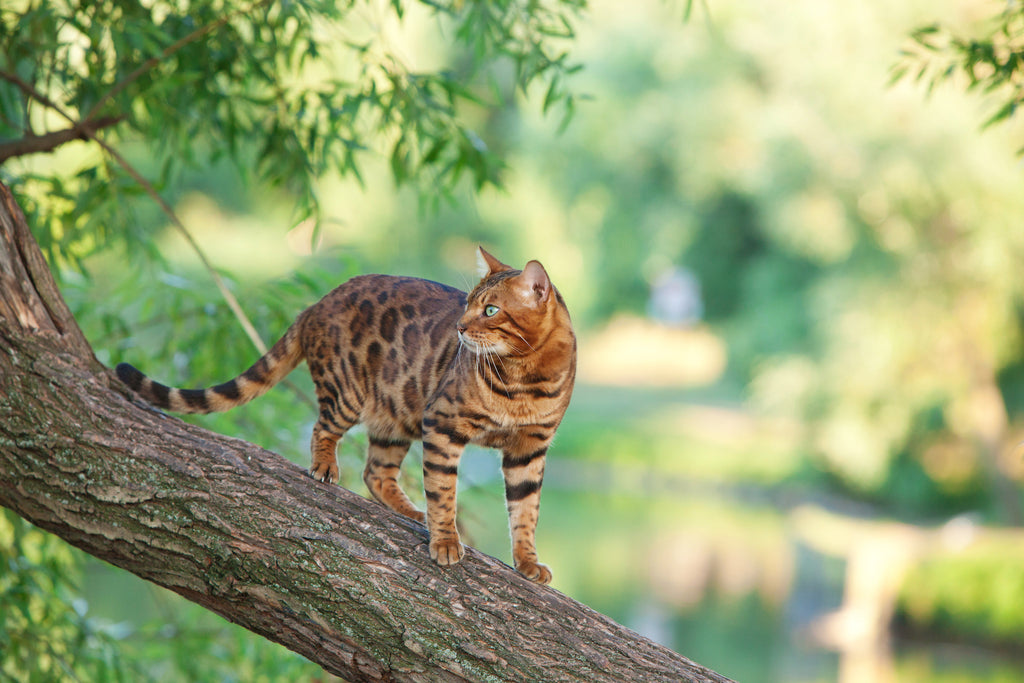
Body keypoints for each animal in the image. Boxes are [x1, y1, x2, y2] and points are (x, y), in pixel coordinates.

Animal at [116, 248, 577, 585]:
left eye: (491, 310)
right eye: (467, 304)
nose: (460, 329)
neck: (524, 378)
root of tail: (316, 303)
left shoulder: (529, 449)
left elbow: (525, 511)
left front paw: (527, 562)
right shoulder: (444, 423)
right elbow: (445, 491)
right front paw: (446, 540)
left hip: (397, 413)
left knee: (376, 472)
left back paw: (410, 511)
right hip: (350, 392)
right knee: (324, 429)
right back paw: (325, 467)